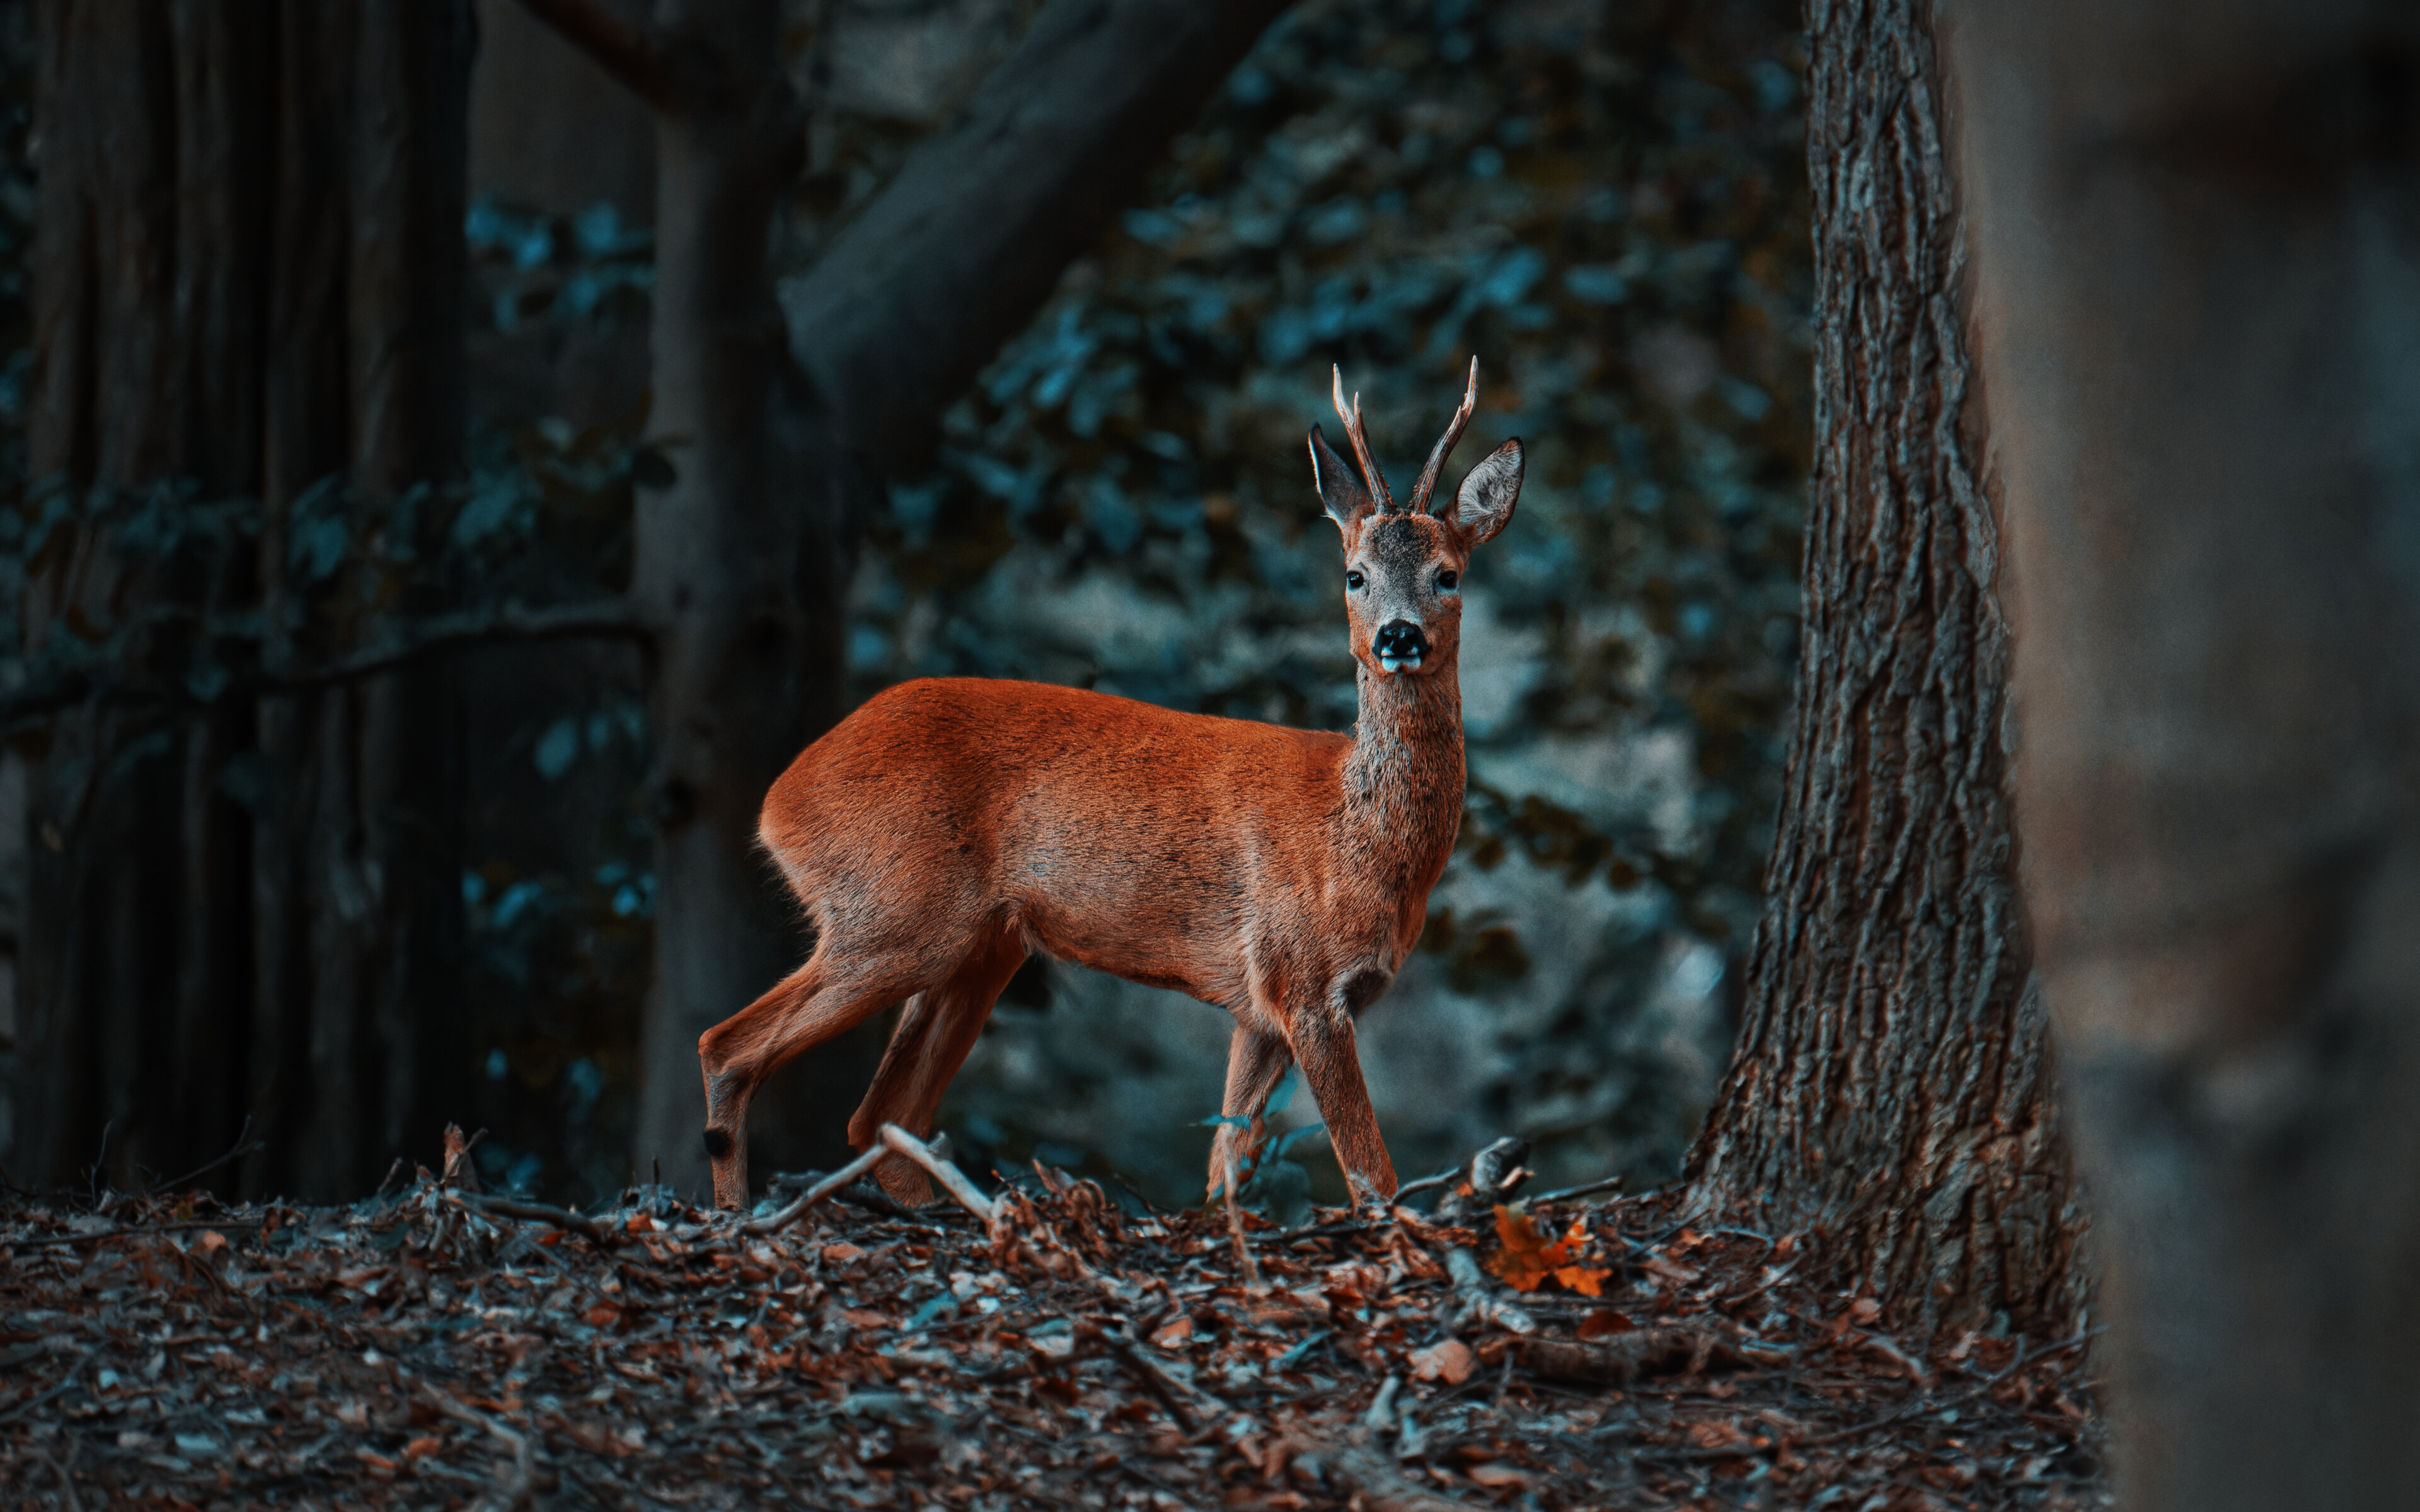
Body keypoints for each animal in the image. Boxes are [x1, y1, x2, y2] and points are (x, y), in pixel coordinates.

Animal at [701, 363, 1519, 1214]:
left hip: (981, 944)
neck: (1357, 840)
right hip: (893, 910)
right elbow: (1372, 1178)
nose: (1400, 636)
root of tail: (777, 802)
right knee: (730, 1048)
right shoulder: (1305, 980)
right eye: (1355, 575)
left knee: (883, 1117)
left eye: (1448, 574)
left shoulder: (1263, 1010)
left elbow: (1224, 1173)